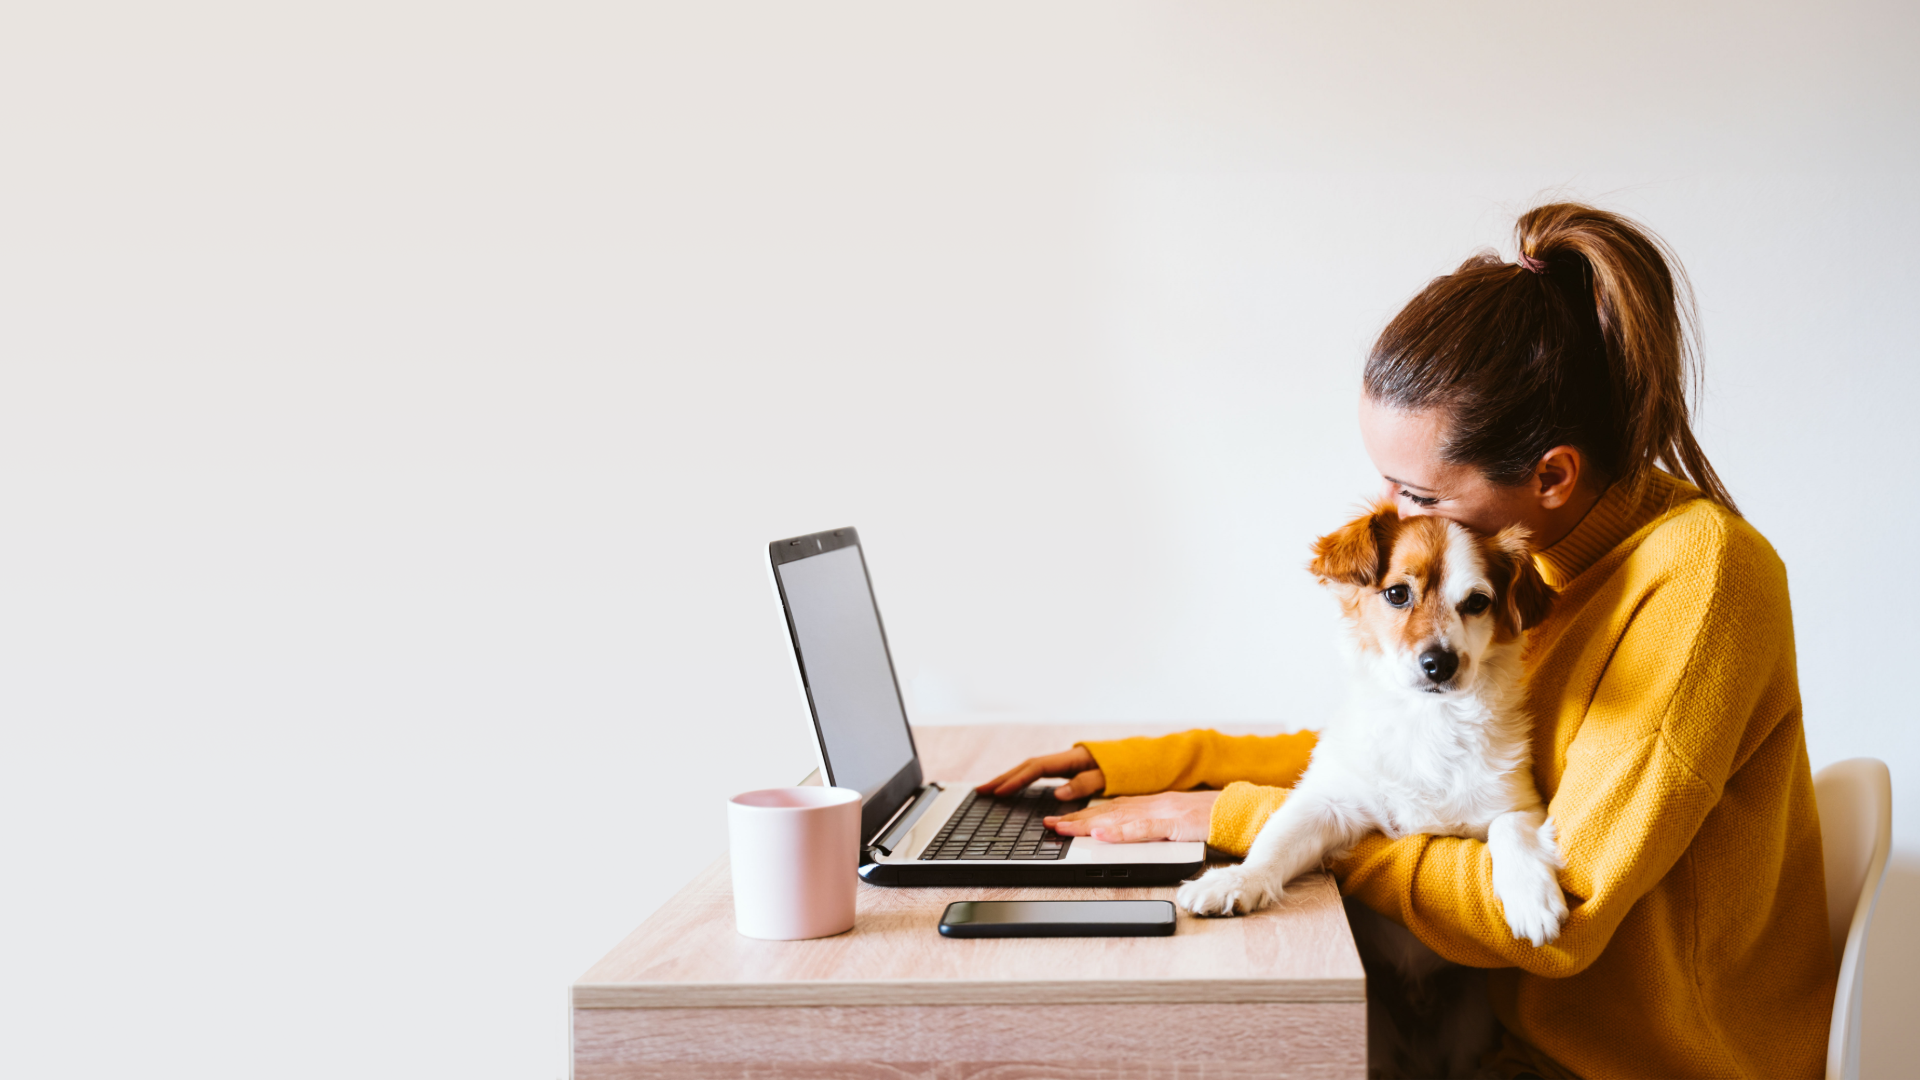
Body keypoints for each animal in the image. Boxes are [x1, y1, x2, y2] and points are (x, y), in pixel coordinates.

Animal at [1175, 499, 1566, 949]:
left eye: (1477, 602)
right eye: (1397, 593)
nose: (1440, 663)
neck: (1427, 720)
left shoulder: (1519, 802)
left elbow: (1512, 829)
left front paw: (1531, 896)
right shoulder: (1330, 802)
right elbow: (1276, 839)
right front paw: (1237, 880)